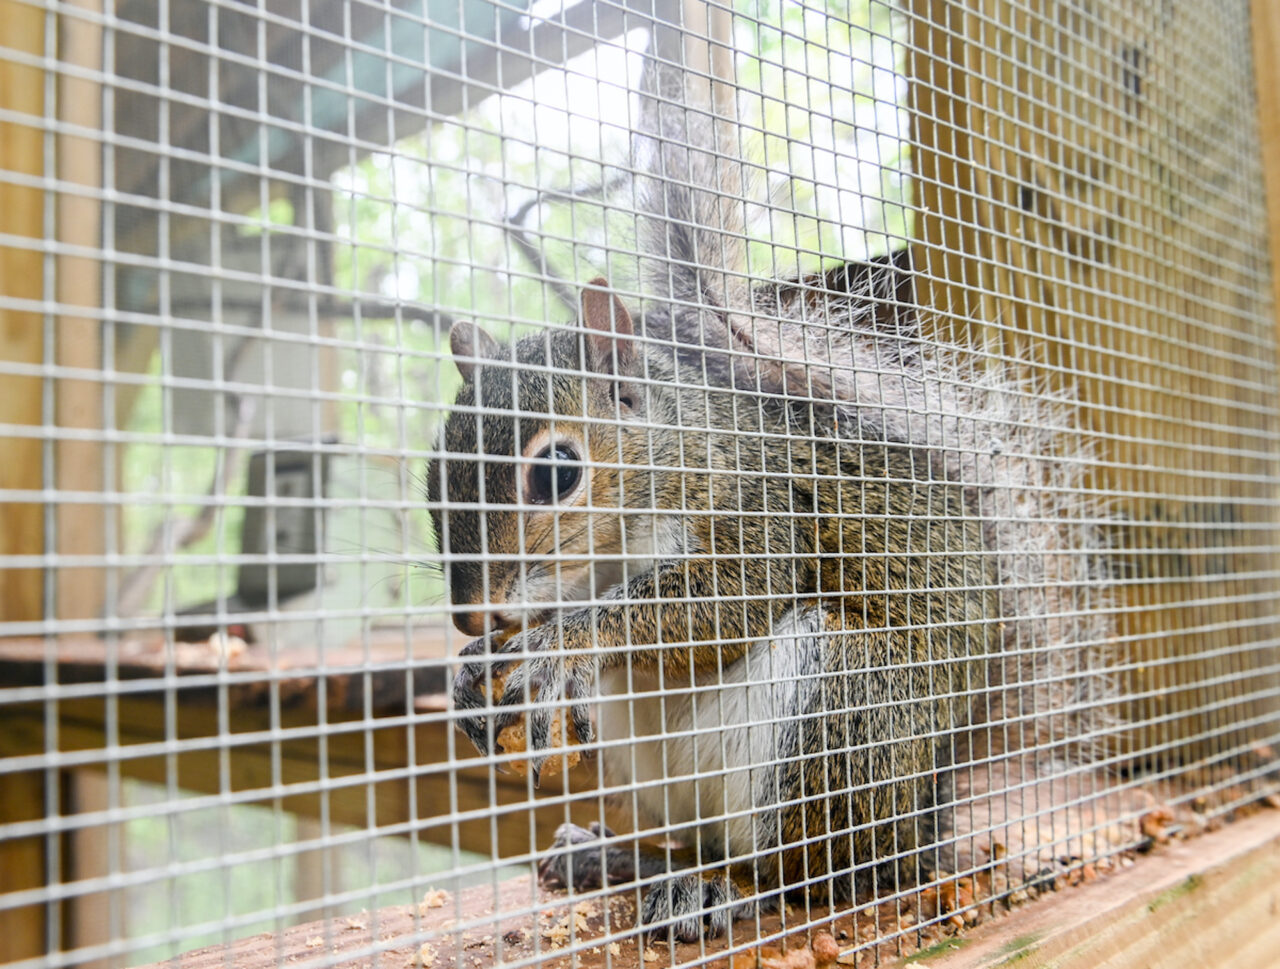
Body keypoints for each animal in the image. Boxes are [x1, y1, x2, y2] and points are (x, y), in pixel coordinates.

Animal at [427, 85, 1115, 942]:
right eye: (432, 469)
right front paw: (470, 668)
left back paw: (724, 891)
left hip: (843, 705)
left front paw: (568, 638)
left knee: (803, 872)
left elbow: (729, 599)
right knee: (699, 838)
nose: (469, 613)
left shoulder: (757, 508)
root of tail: (924, 825)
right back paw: (615, 856)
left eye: (558, 471)